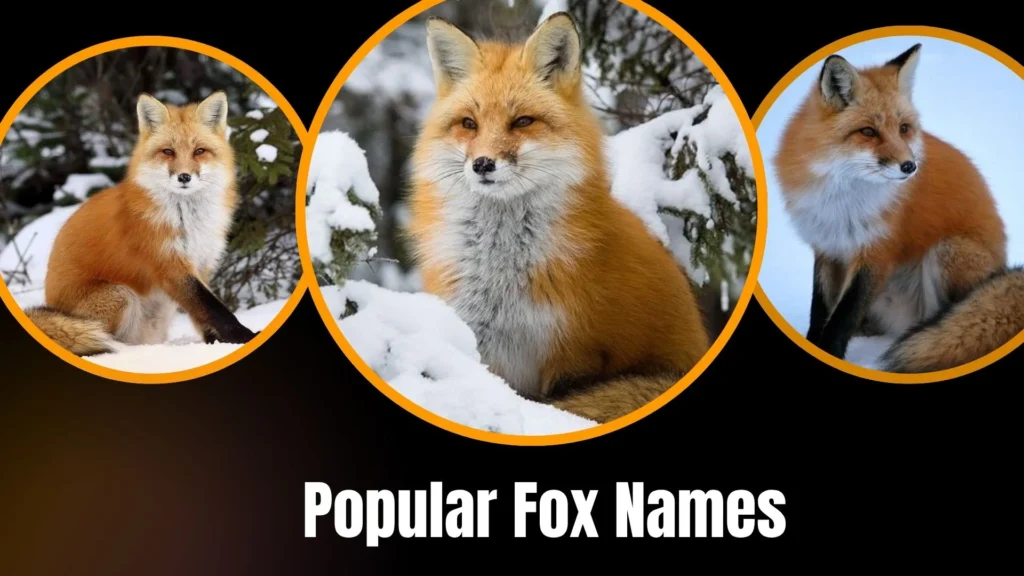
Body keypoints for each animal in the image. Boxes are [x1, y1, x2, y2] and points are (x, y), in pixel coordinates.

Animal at [22, 91, 258, 357]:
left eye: (199, 151)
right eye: (168, 152)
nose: (184, 177)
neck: (188, 219)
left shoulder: (201, 263)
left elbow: (203, 314)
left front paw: (215, 345)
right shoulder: (170, 266)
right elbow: (216, 310)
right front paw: (245, 338)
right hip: (120, 295)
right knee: (100, 339)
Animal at [405, 12, 711, 424]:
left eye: (522, 121)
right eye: (469, 124)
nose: (482, 164)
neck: (502, 277)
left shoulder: (577, 353)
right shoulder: (479, 339)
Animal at [773, 43, 1010, 369]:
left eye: (904, 128)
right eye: (868, 132)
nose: (909, 166)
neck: (841, 202)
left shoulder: (877, 252)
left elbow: (842, 318)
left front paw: (830, 352)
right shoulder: (828, 248)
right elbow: (820, 312)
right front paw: (813, 343)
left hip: (949, 250)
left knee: (953, 316)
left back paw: (931, 335)